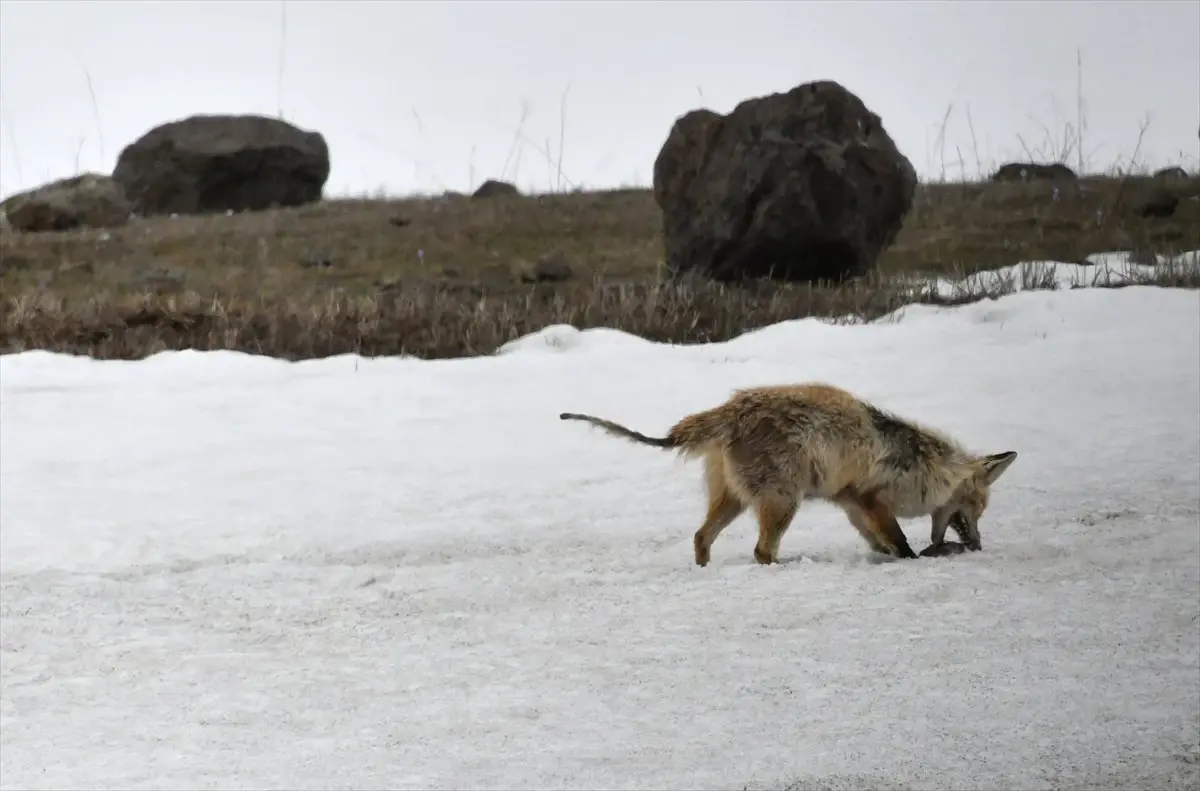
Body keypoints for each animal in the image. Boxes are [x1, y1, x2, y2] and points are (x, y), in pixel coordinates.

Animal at [556, 384, 1017, 566]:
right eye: (977, 507)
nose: (978, 545)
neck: (922, 465)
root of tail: (729, 409)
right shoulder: (871, 498)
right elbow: (901, 542)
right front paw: (914, 558)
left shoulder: (852, 501)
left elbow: (881, 541)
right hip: (782, 502)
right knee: (761, 551)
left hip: (736, 500)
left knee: (701, 537)